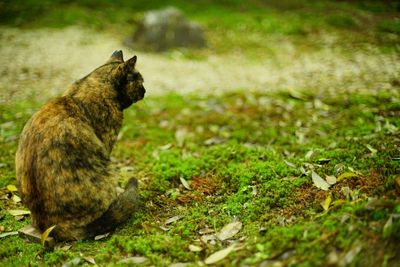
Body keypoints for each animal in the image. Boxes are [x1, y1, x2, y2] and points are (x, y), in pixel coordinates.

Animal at [15, 50, 145, 241]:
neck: (91, 85)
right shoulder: (106, 142)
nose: (145, 91)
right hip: (107, 169)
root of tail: (51, 226)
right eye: (140, 81)